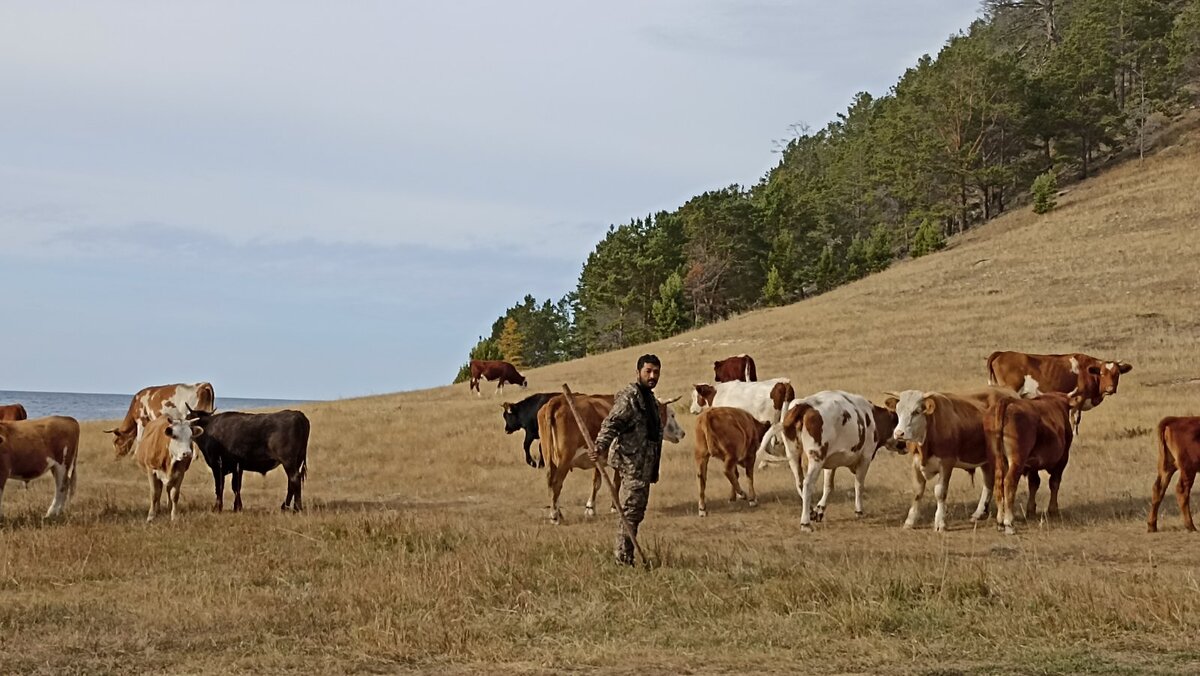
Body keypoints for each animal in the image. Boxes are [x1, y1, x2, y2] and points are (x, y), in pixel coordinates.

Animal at [537, 391, 686, 523]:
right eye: (672, 415)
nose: (682, 433)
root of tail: (556, 401)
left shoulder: (598, 458)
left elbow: (596, 482)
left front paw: (590, 508)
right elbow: (616, 482)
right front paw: (615, 507)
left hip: (550, 459)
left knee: (551, 484)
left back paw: (558, 513)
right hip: (564, 460)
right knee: (556, 483)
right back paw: (554, 515)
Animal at [777, 393, 902, 530]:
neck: (873, 417)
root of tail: (805, 406)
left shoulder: (831, 462)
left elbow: (828, 486)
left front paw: (819, 509)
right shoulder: (866, 457)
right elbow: (859, 484)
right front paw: (859, 510)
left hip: (792, 455)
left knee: (799, 482)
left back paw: (810, 511)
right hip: (816, 457)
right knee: (807, 484)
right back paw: (805, 523)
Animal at [888, 389, 1017, 530]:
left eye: (916, 411)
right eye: (898, 410)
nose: (899, 433)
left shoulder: (946, 463)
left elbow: (940, 492)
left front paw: (940, 522)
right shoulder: (916, 463)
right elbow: (917, 492)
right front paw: (910, 521)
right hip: (987, 461)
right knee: (988, 482)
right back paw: (978, 513)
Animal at [984, 391, 1080, 535]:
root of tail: (1007, 401)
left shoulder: (1033, 465)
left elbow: (1034, 483)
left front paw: (1031, 510)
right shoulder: (1062, 460)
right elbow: (1054, 483)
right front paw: (1053, 510)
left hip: (997, 461)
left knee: (998, 484)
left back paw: (1000, 521)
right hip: (1017, 461)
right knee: (1009, 483)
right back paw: (1008, 522)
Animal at [988, 353, 1128, 432]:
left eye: (1117, 374)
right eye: (1102, 373)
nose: (1110, 388)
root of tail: (1001, 353)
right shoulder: (1079, 398)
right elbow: (1075, 419)